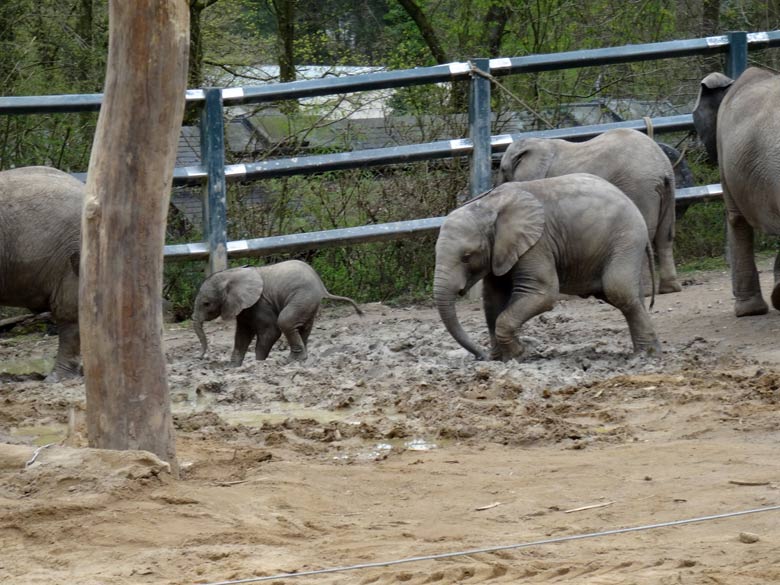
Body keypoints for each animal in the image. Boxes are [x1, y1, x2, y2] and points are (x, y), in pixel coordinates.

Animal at [195, 258, 366, 362]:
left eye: (206, 304)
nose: (200, 357)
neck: (231, 274)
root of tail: (322, 286)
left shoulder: (260, 303)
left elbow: (271, 331)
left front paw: (258, 363)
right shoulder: (243, 307)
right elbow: (242, 335)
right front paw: (233, 367)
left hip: (302, 297)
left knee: (285, 321)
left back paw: (292, 360)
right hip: (309, 302)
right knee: (303, 327)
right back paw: (301, 359)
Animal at [432, 173, 660, 360]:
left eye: (466, 257)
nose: (481, 356)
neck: (488, 204)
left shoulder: (537, 243)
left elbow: (542, 293)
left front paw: (519, 354)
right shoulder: (500, 251)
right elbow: (493, 299)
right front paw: (501, 359)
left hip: (626, 238)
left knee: (618, 290)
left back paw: (643, 357)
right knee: (629, 295)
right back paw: (649, 351)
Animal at [496, 127, 680, 292]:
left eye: (502, 169)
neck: (539, 141)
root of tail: (661, 167)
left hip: (639, 187)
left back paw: (646, 291)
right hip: (667, 188)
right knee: (665, 235)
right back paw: (669, 288)